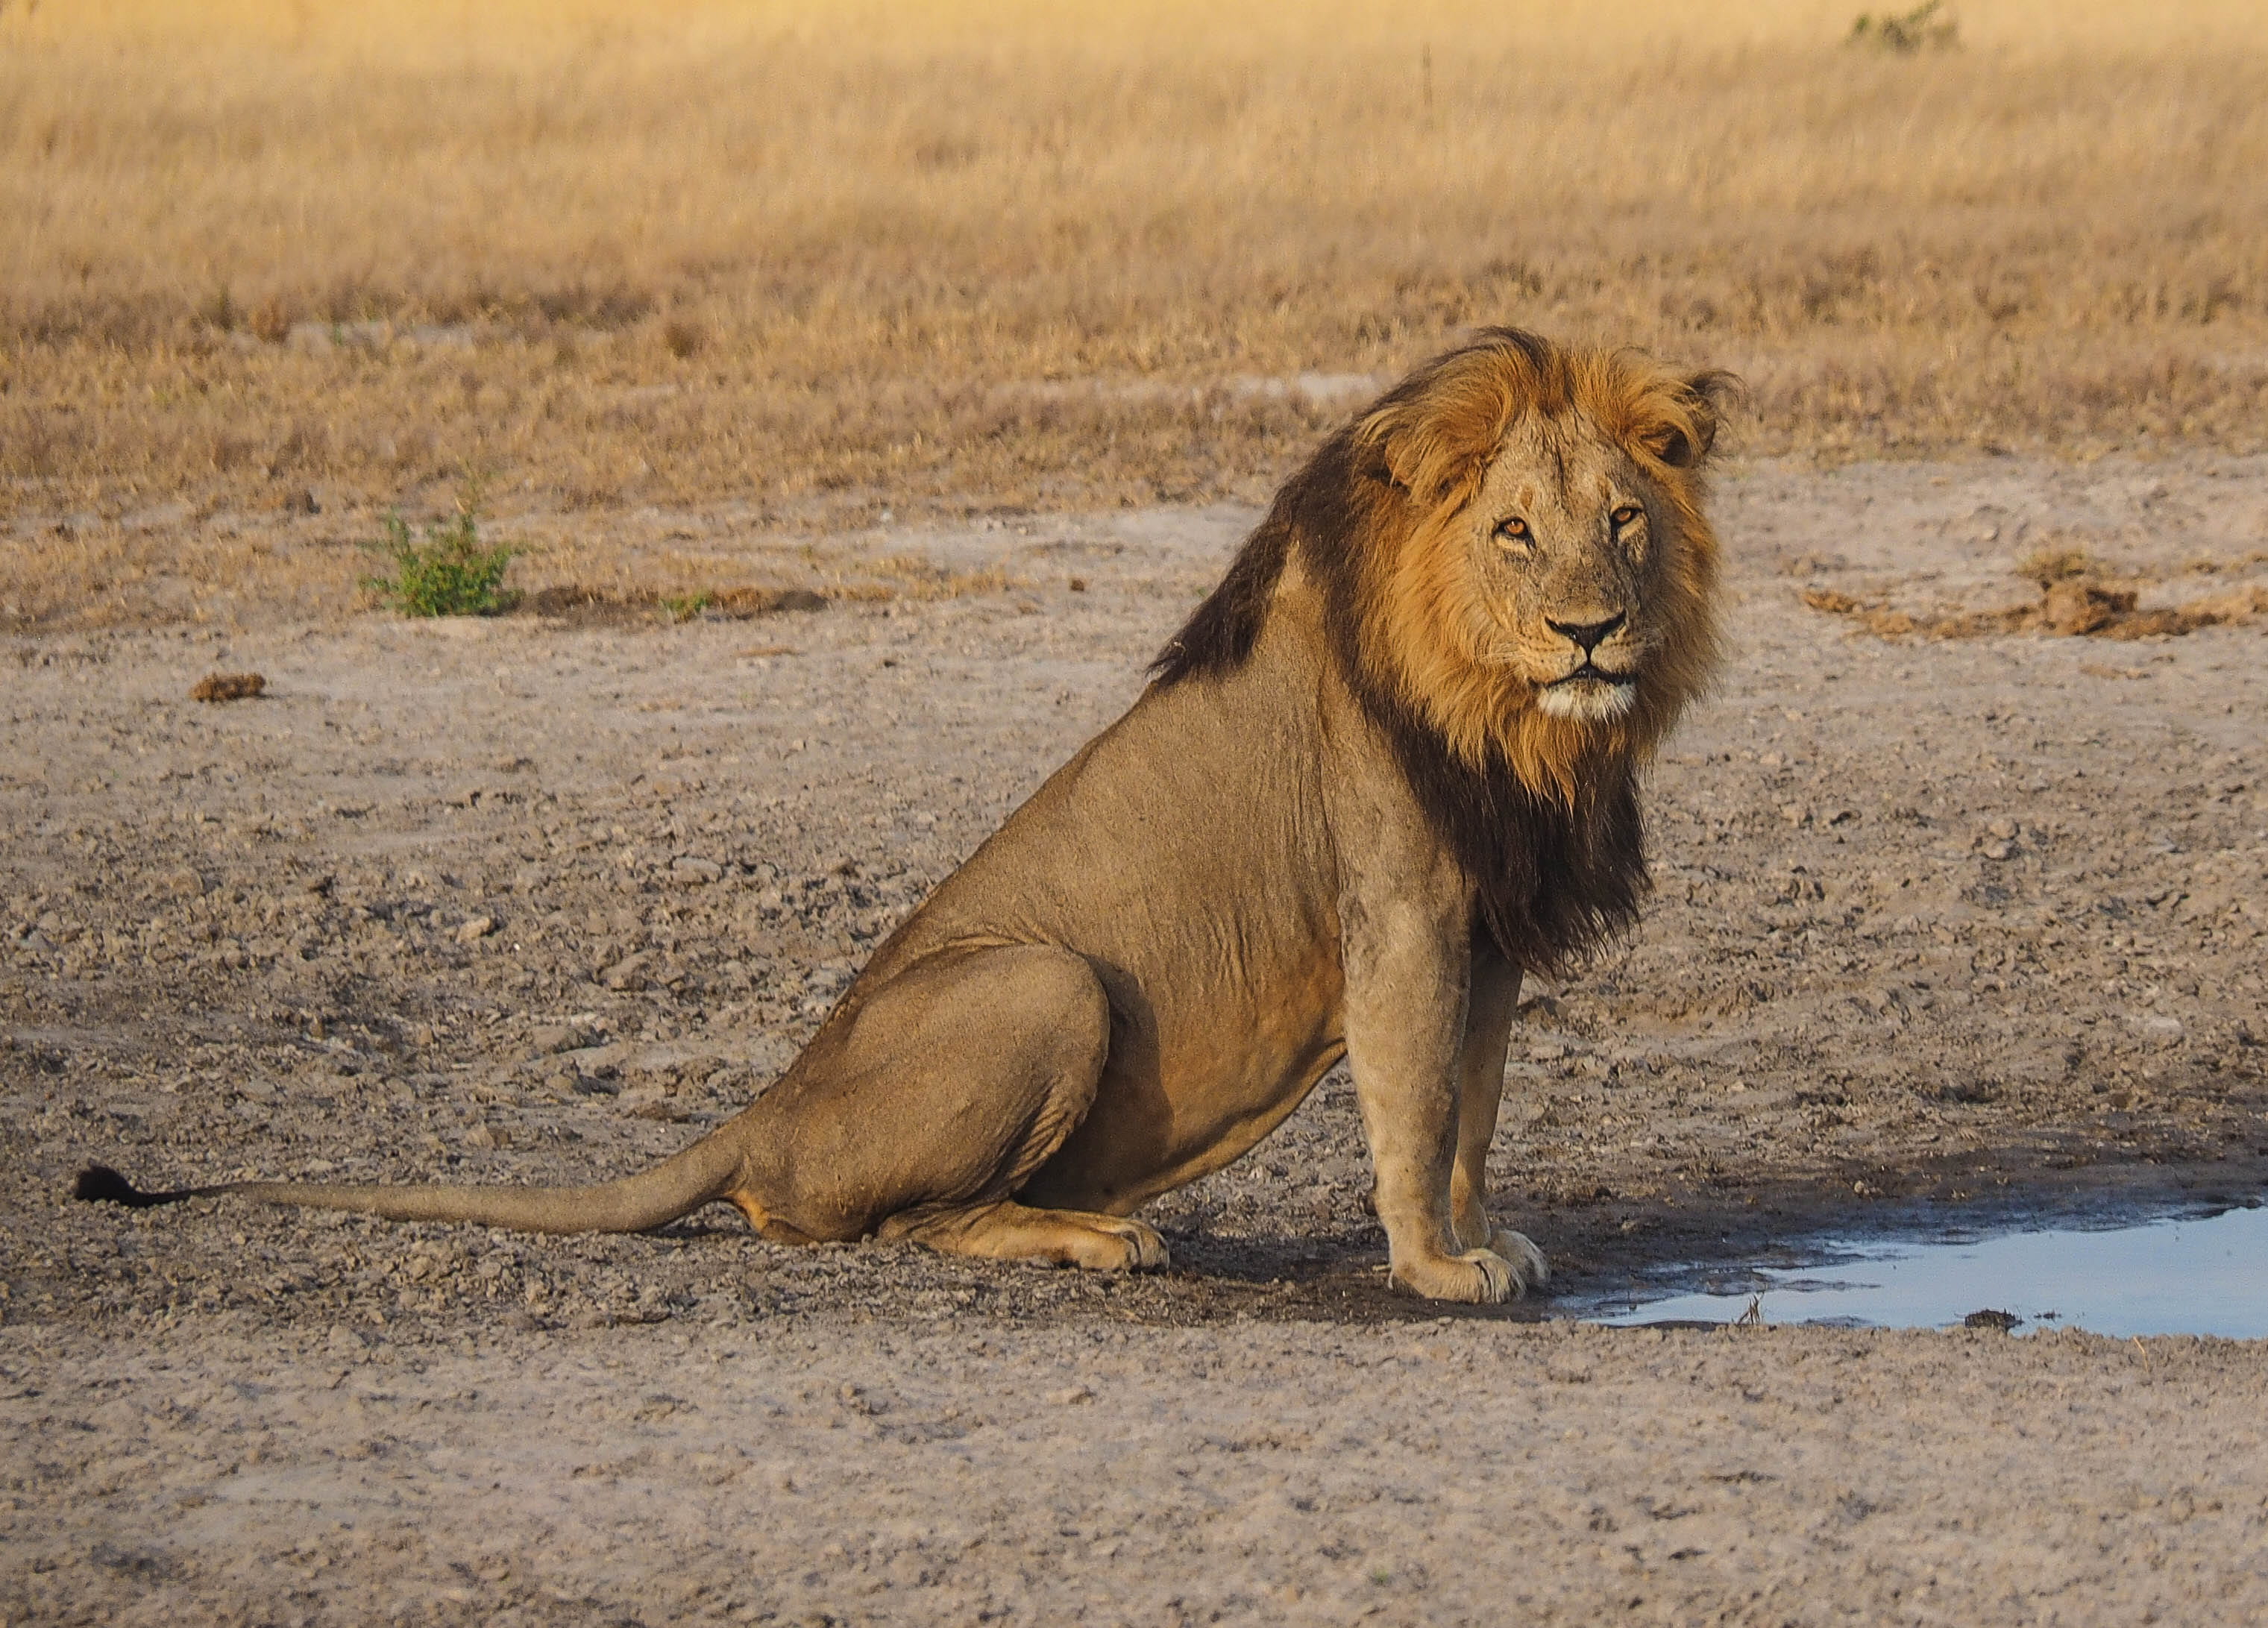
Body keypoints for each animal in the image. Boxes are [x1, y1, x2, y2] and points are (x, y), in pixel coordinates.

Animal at [78, 328, 1732, 1304]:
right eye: (1511, 532)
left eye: (1621, 521)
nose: (1590, 630)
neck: (1518, 725)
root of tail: (765, 1105)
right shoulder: (1395, 913)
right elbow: (1410, 1103)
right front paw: (1431, 1269)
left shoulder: (1490, 926)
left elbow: (1473, 1108)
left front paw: (1485, 1236)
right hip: (1047, 983)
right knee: (885, 1225)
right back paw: (1096, 1234)